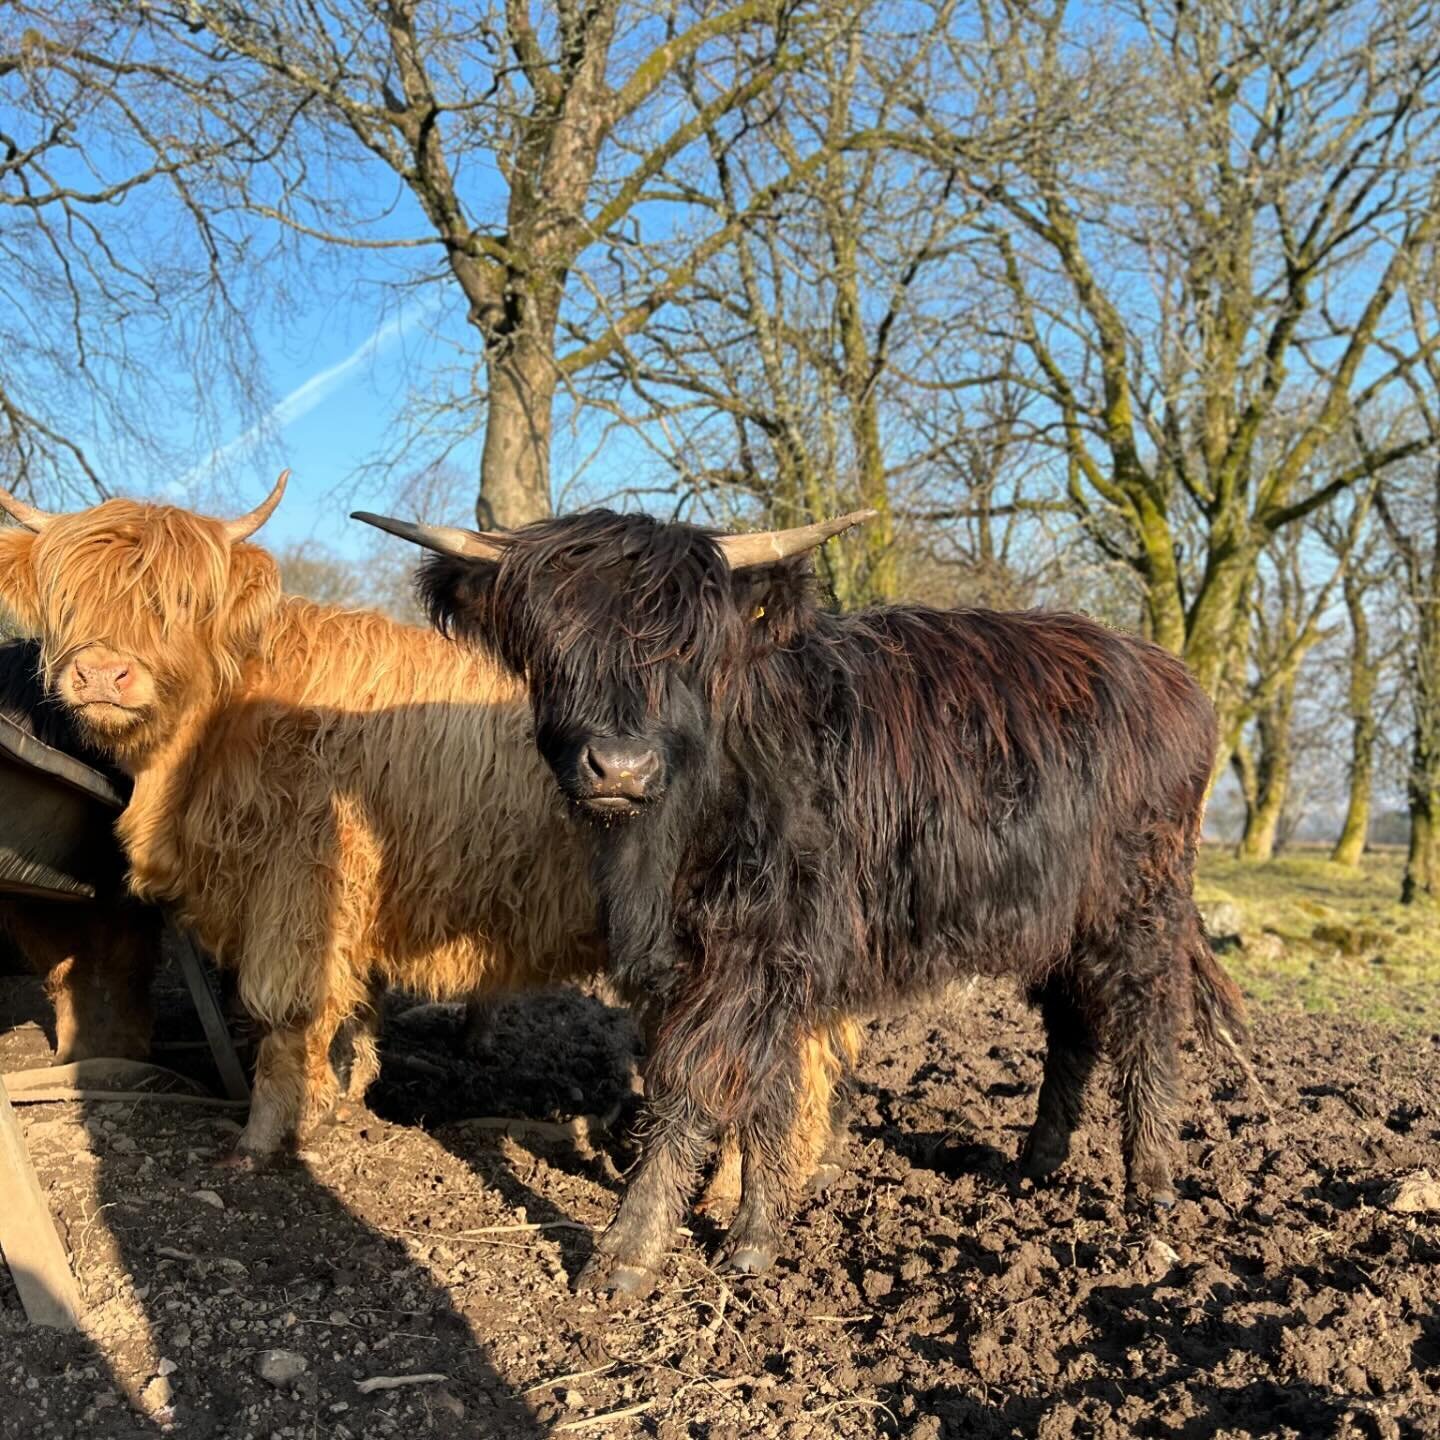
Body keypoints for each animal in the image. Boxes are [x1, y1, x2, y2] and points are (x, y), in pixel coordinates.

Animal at [354, 504, 1244, 1296]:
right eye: (552, 644)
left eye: (688, 651)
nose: (619, 766)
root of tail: (1168, 673)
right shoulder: (739, 960)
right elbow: (773, 1088)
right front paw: (754, 1233)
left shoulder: (756, 950)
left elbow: (693, 1085)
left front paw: (630, 1253)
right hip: (1059, 918)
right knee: (1071, 1027)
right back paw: (1036, 1164)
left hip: (1138, 905)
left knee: (1145, 1018)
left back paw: (1152, 1186)